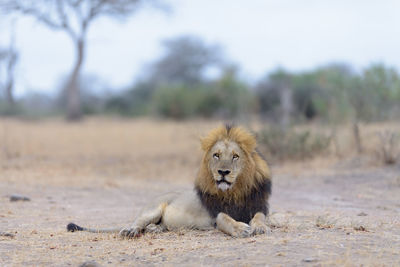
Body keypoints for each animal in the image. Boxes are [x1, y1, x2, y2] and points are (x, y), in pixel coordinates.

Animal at [67, 125, 272, 239]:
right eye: (216, 155)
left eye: (235, 156)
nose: (223, 172)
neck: (235, 191)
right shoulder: (214, 215)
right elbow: (225, 218)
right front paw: (241, 229)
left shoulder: (258, 206)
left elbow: (259, 217)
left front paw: (261, 228)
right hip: (152, 209)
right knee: (136, 222)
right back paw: (132, 231)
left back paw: (154, 230)